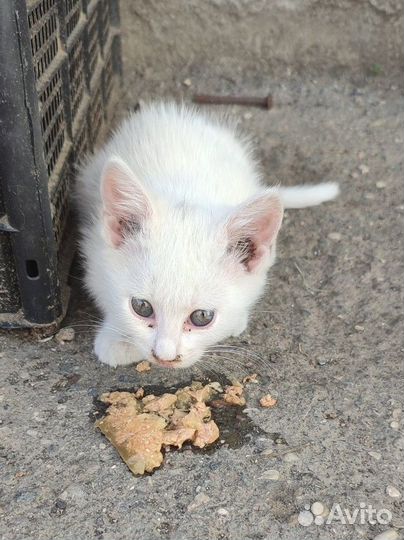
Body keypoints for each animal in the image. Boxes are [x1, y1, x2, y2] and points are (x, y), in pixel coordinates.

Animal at [75, 103, 338, 370]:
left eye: (202, 317)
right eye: (142, 307)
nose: (165, 357)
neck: (187, 193)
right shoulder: (95, 252)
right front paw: (117, 338)